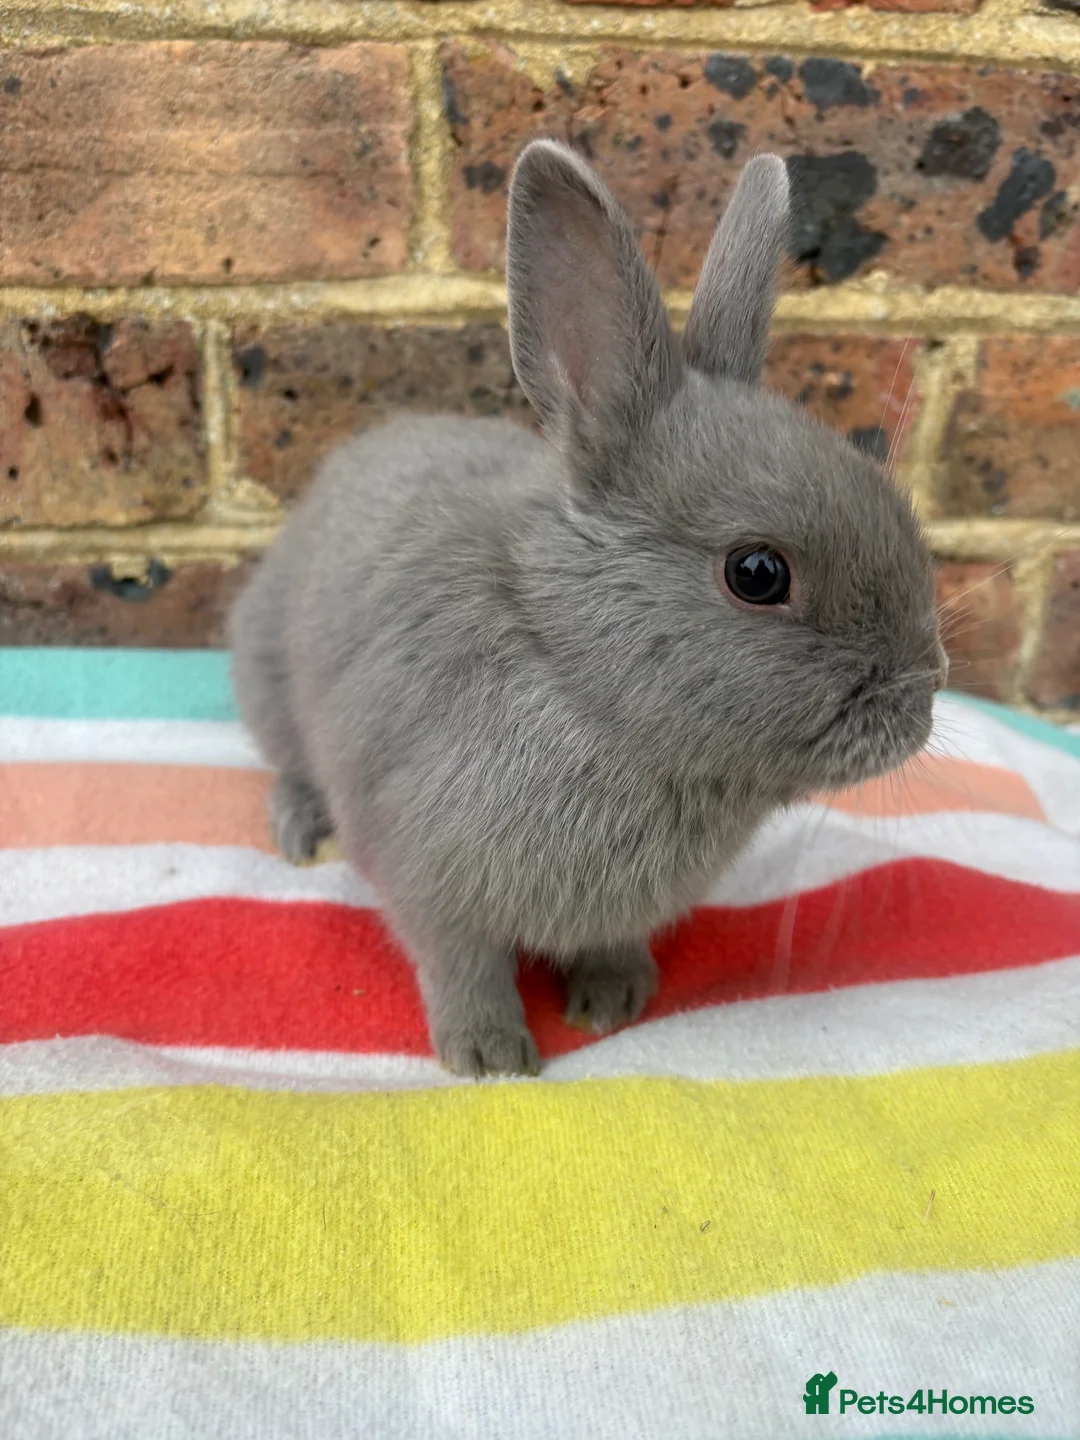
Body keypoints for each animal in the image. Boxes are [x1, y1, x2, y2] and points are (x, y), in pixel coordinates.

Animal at [229, 140, 947, 1077]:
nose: (924, 697)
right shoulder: (426, 875)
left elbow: (610, 947)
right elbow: (461, 967)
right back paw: (302, 828)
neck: (571, 670)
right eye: (757, 573)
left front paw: (612, 1004)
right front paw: (490, 1057)